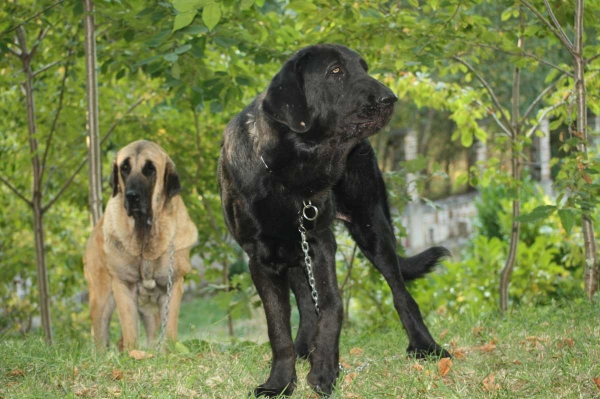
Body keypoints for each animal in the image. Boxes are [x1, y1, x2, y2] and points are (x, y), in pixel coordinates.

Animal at [83, 140, 197, 350]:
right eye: (124, 168)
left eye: (150, 169)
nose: (132, 196)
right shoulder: (123, 286)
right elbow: (130, 329)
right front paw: (133, 353)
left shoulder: (172, 285)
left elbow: (169, 328)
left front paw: (169, 351)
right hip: (101, 299)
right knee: (100, 337)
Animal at [218, 44, 448, 396]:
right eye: (335, 71)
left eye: (364, 68)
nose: (390, 98)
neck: (289, 174)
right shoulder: (262, 260)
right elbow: (277, 328)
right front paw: (280, 382)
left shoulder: (320, 243)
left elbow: (332, 305)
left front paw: (325, 369)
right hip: (297, 257)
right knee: (305, 306)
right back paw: (303, 349)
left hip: (372, 230)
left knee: (401, 294)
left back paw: (426, 346)